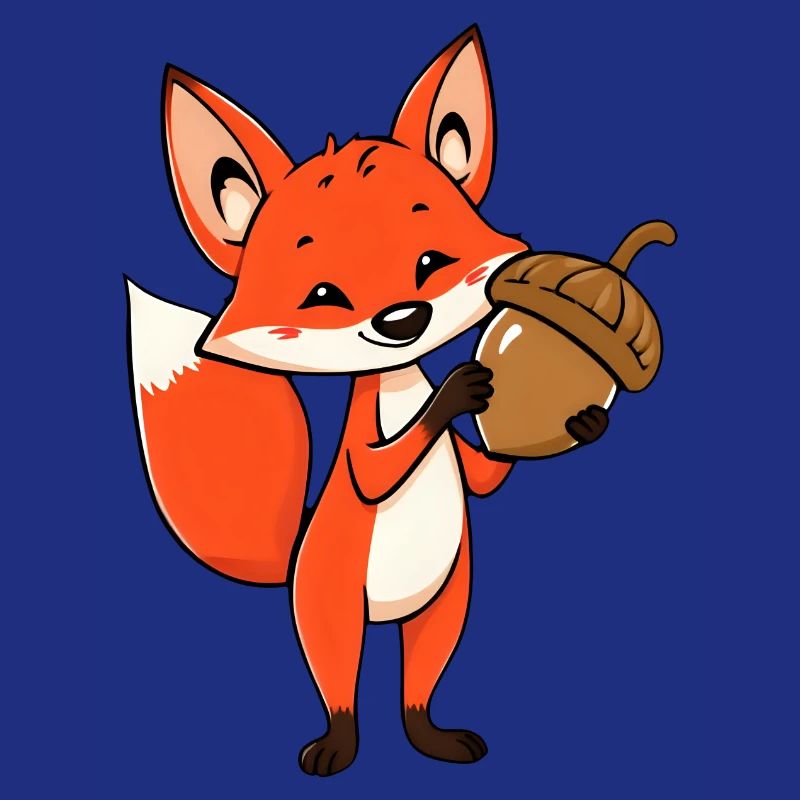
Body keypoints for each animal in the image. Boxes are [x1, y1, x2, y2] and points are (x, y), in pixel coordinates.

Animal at [127, 26, 608, 777]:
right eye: (323, 295)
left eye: (431, 263)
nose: (403, 320)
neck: (399, 379)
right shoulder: (362, 452)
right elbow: (380, 468)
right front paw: (455, 392)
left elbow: (485, 476)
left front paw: (581, 421)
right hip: (331, 606)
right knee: (339, 684)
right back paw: (337, 744)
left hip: (447, 601)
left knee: (419, 680)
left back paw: (431, 736)